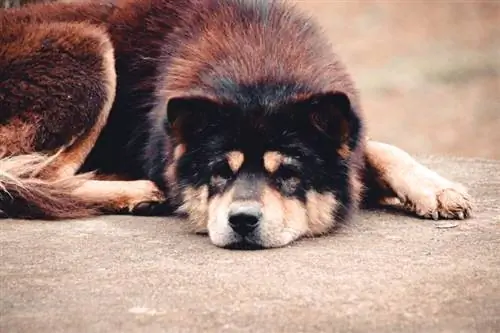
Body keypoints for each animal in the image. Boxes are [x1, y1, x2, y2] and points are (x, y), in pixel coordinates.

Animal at [0, 0, 472, 248]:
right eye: (219, 172)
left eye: (288, 174)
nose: (243, 221)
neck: (259, 68)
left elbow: (376, 148)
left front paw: (435, 188)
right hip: (89, 53)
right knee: (36, 176)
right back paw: (133, 191)